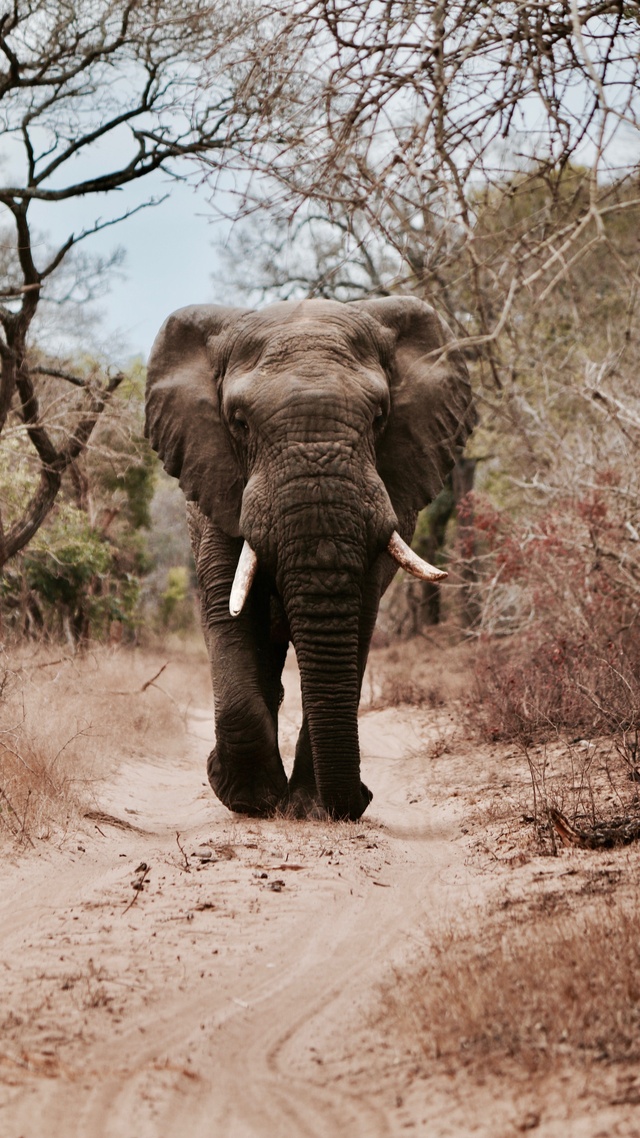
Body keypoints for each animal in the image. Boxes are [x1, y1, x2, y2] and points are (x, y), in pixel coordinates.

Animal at [144, 298, 473, 823]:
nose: (361, 800)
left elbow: (358, 619)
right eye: (239, 422)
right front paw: (248, 800)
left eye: (379, 417)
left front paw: (308, 807)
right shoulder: (218, 483)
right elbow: (228, 610)